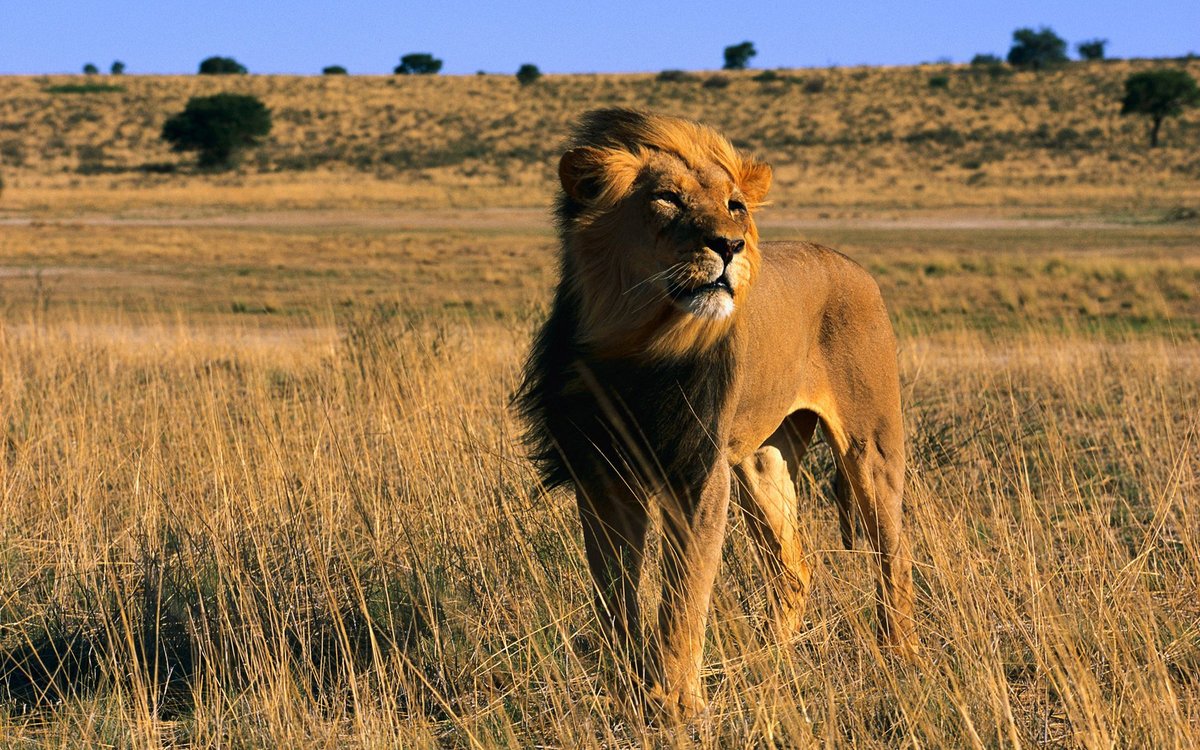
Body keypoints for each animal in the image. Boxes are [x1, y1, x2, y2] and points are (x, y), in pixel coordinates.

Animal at [516, 108, 917, 717]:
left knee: (894, 553)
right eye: (667, 199)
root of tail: (850, 263)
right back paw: (767, 662)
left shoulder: (699, 471)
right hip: (762, 462)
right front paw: (627, 691)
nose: (729, 246)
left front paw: (676, 705)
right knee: (794, 570)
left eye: (735, 205)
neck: (638, 342)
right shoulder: (602, 472)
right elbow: (614, 594)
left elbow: (684, 595)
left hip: (869, 447)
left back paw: (900, 656)